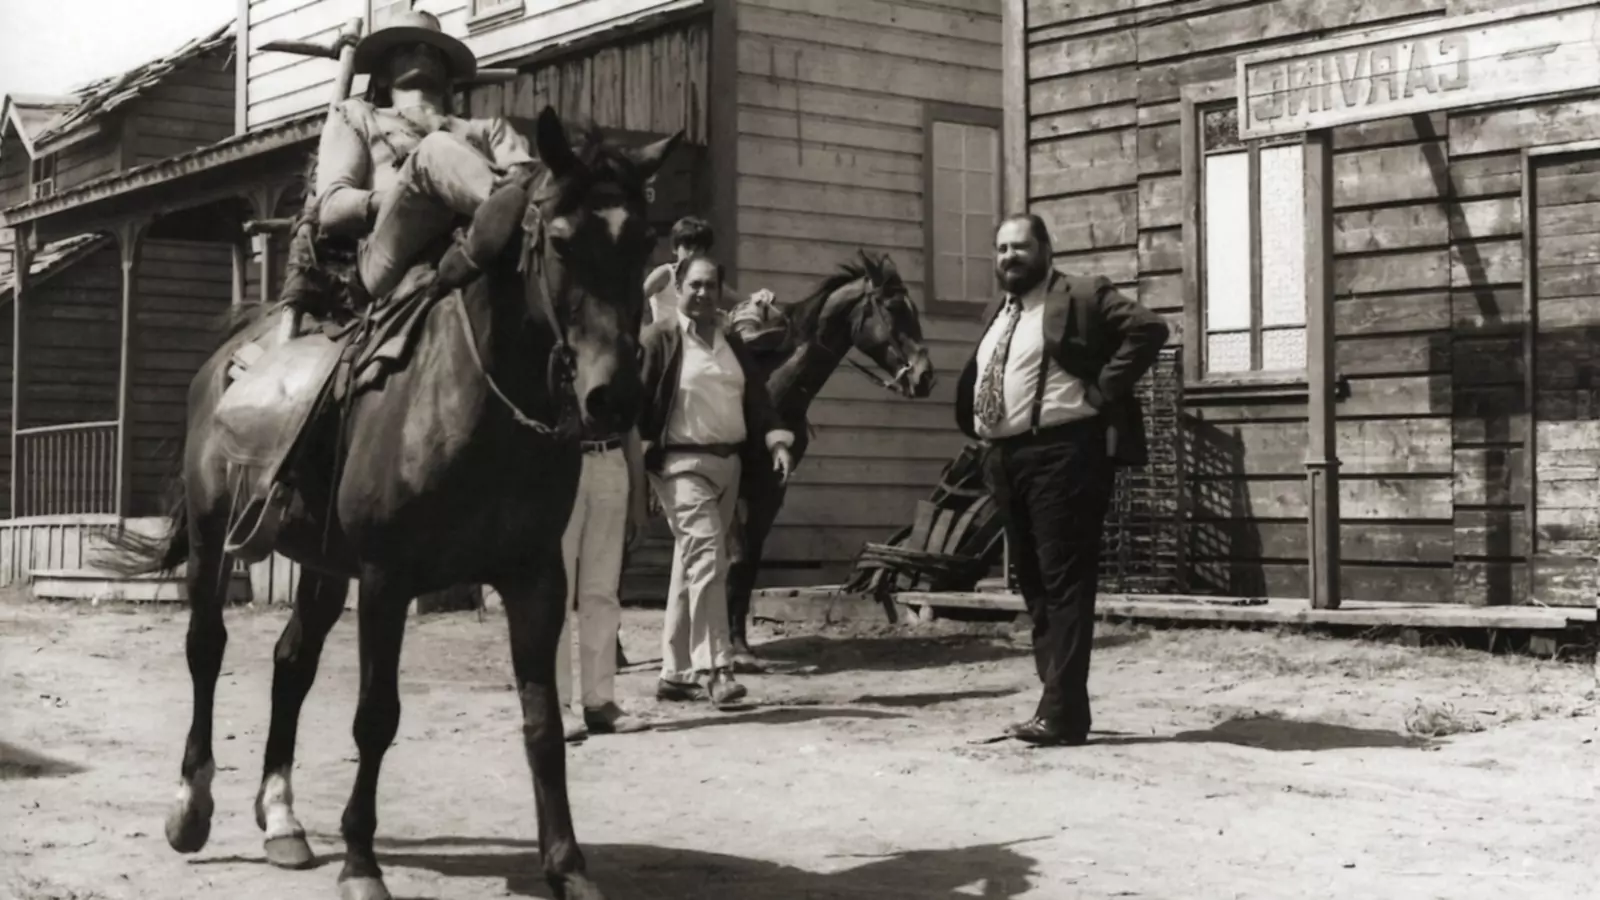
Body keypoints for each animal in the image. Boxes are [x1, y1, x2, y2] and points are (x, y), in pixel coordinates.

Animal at [100, 106, 675, 896]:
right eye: (560, 240)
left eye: (644, 240)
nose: (613, 397)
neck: (477, 399)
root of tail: (224, 361)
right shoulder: (384, 579)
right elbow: (376, 715)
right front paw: (361, 862)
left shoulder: (534, 578)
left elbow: (542, 722)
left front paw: (567, 865)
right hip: (219, 541)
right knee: (206, 647)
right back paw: (192, 807)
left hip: (318, 562)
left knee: (291, 661)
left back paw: (281, 819)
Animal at [726, 249, 934, 659]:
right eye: (892, 307)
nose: (925, 376)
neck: (772, 384)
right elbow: (733, 560)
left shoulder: (772, 488)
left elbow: (749, 561)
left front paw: (740, 645)